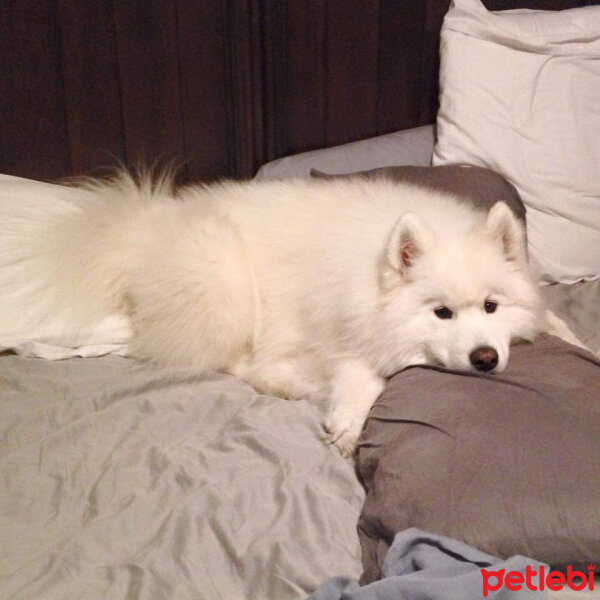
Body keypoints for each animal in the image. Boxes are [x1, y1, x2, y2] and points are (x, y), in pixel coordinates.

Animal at [0, 173, 548, 454]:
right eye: (441, 313)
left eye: (492, 307)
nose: (485, 359)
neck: (367, 283)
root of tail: (144, 228)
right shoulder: (340, 333)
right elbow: (358, 373)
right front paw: (347, 420)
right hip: (224, 275)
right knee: (237, 362)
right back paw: (290, 381)